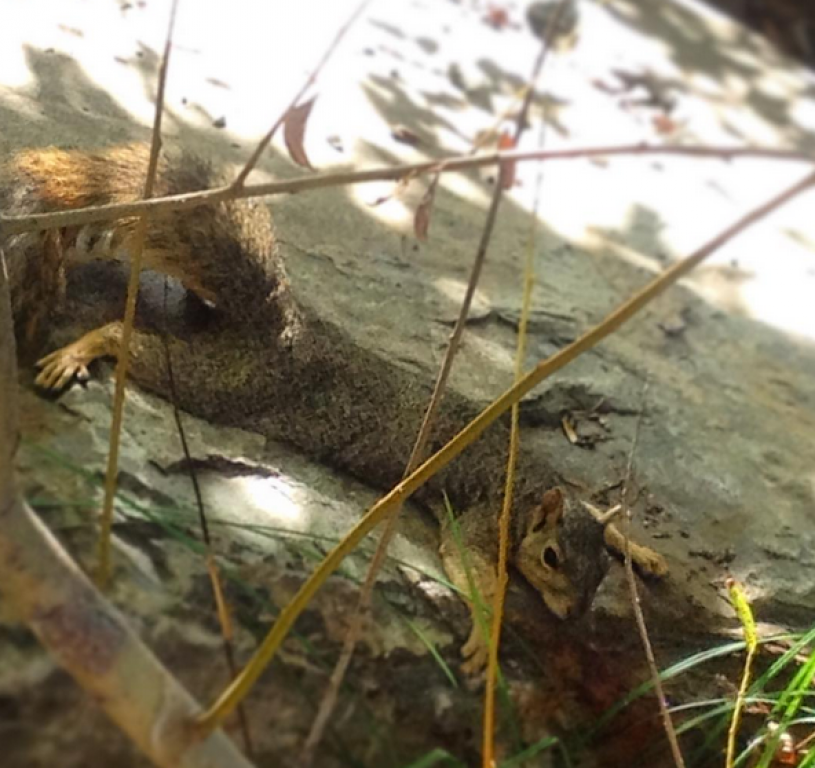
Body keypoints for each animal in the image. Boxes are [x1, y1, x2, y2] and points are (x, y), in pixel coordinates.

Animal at [0, 142, 668, 672]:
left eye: (601, 572)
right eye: (552, 558)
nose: (572, 616)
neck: (526, 487)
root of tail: (287, 330)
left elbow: (599, 514)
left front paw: (642, 551)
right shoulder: (479, 521)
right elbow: (475, 574)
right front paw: (487, 634)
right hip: (221, 380)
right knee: (127, 337)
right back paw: (82, 349)